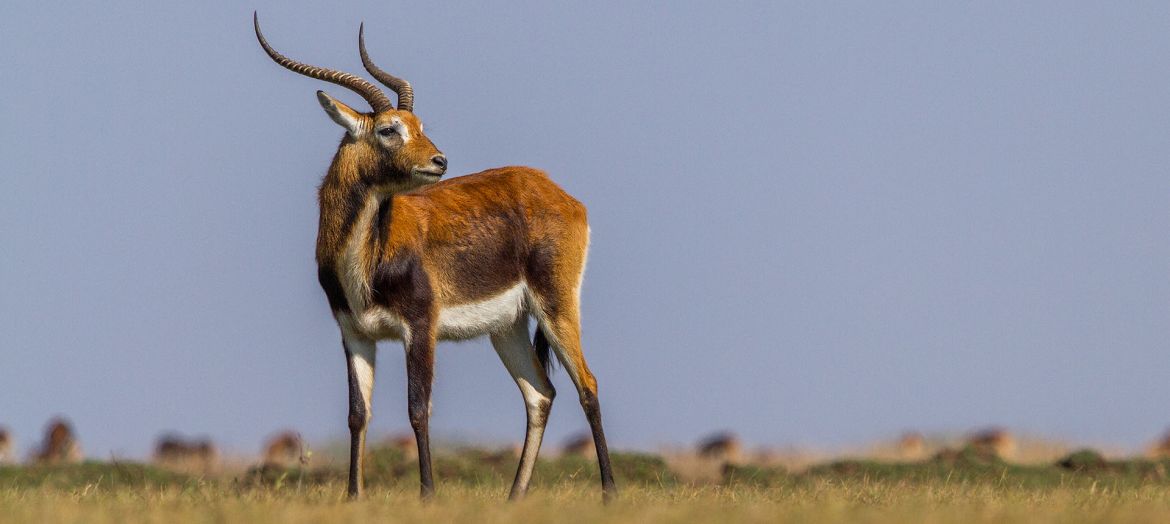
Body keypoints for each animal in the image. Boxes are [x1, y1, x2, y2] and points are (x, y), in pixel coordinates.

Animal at [253, 14, 622, 500]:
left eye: (419, 123)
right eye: (389, 128)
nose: (439, 161)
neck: (366, 258)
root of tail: (556, 191)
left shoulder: (420, 327)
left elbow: (417, 408)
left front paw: (427, 495)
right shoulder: (354, 333)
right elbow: (357, 415)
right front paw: (353, 496)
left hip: (556, 304)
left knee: (588, 384)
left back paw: (609, 493)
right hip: (507, 327)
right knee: (540, 394)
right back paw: (514, 497)